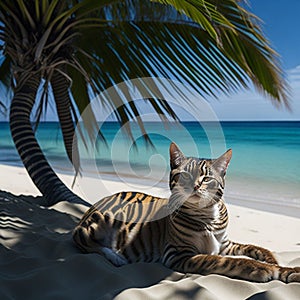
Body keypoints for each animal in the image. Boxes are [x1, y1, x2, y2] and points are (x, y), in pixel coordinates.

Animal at [73, 143, 300, 284]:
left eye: (206, 178)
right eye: (184, 175)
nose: (194, 186)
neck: (208, 214)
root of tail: (90, 209)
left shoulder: (225, 244)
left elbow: (253, 248)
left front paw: (278, 264)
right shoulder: (178, 253)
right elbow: (227, 261)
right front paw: (263, 269)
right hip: (104, 218)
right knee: (85, 243)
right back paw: (115, 256)